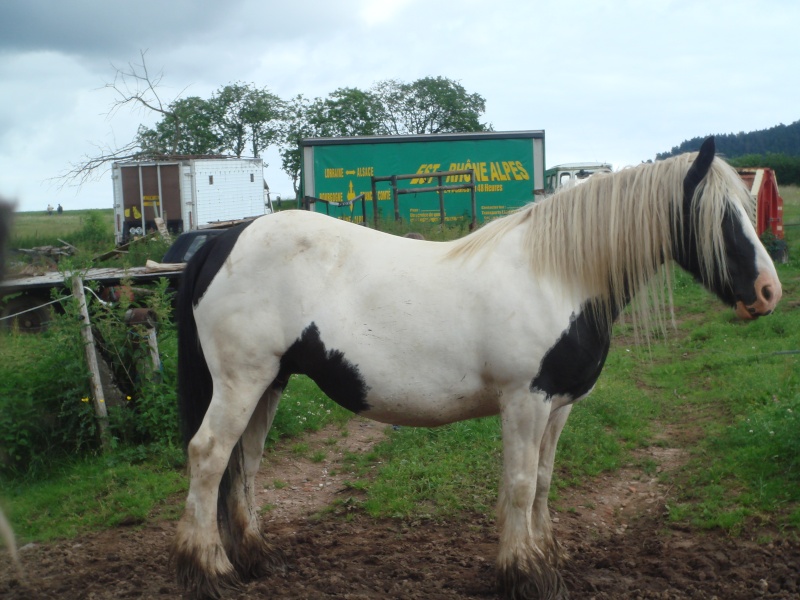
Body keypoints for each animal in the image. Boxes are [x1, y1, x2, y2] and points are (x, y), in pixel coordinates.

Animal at [173, 137, 780, 600]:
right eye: (721, 217)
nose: (768, 293)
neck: (557, 276)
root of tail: (223, 241)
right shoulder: (526, 402)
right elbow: (518, 484)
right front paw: (524, 574)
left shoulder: (558, 407)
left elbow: (543, 480)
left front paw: (546, 559)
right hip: (242, 381)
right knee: (208, 456)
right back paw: (210, 570)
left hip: (269, 383)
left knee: (244, 464)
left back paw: (255, 559)